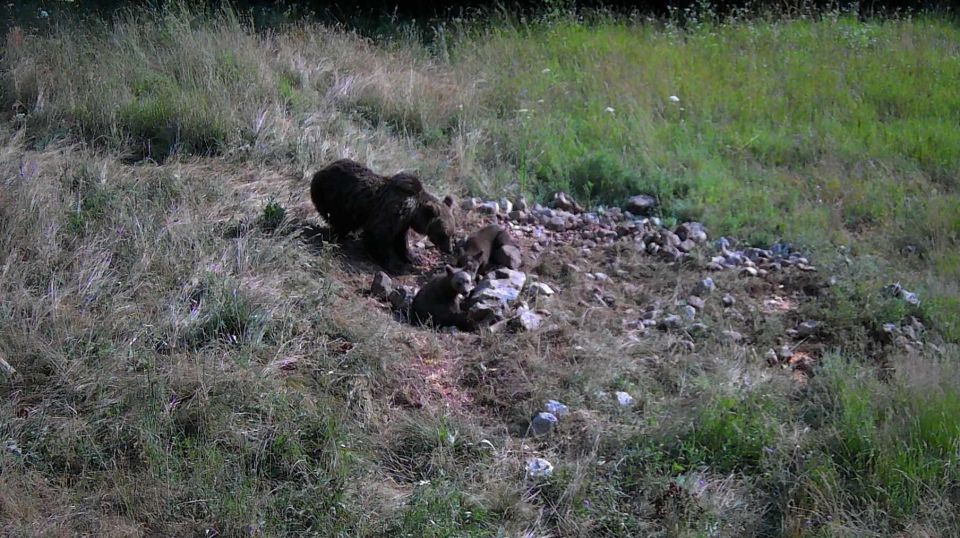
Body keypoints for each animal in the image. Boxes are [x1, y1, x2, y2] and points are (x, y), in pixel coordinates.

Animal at [310, 156, 456, 272]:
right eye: (444, 234)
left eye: (452, 233)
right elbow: (378, 234)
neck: (414, 212)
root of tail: (322, 170)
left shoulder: (403, 222)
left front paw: (414, 257)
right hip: (335, 198)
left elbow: (401, 239)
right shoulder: (393, 210)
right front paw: (395, 265)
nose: (449, 249)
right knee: (342, 221)